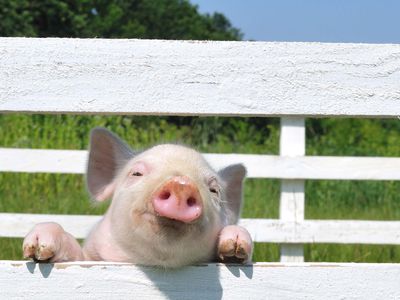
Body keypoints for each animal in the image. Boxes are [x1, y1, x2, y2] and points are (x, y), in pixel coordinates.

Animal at [21, 127, 252, 268]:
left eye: (214, 190)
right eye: (137, 173)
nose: (182, 183)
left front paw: (235, 243)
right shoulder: (91, 258)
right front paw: (38, 246)